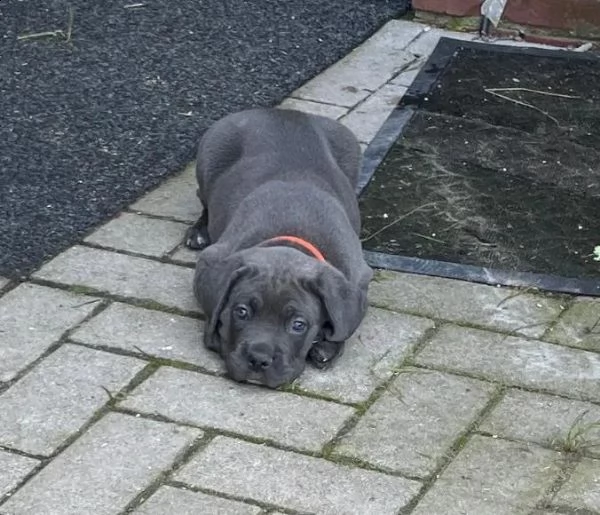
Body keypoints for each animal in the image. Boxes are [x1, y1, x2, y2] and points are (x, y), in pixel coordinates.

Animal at [188, 107, 372, 388]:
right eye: (241, 312)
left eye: (298, 325)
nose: (258, 359)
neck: (291, 235)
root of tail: (283, 110)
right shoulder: (214, 256)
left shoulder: (358, 276)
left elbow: (344, 325)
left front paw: (326, 346)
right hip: (209, 153)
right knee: (204, 199)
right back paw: (198, 232)